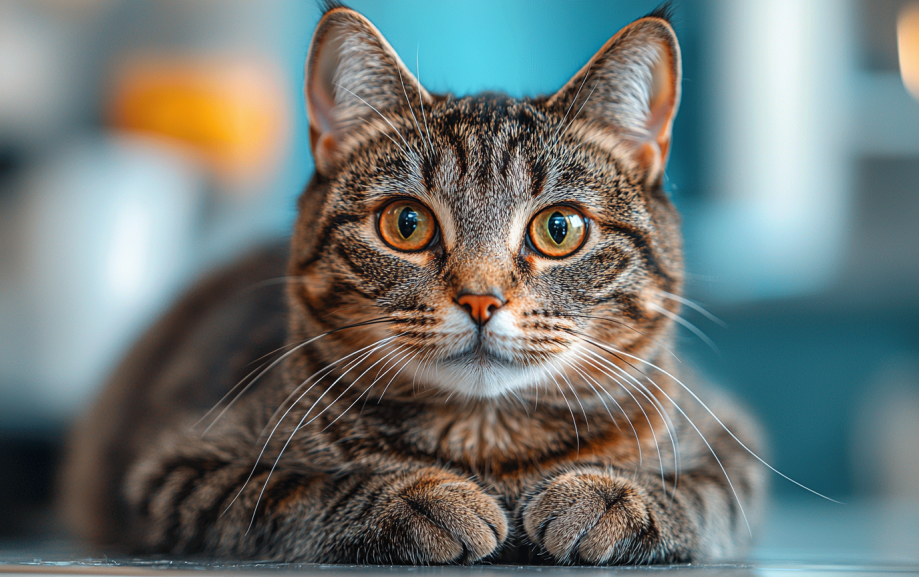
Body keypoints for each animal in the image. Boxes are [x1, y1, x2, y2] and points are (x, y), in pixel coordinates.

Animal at [61, 3, 768, 564]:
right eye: (407, 223)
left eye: (559, 228)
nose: (481, 299)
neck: (487, 448)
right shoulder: (176, 468)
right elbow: (289, 490)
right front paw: (424, 499)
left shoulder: (733, 444)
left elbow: (699, 494)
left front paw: (605, 497)